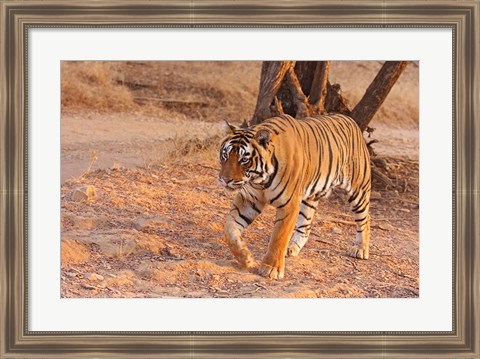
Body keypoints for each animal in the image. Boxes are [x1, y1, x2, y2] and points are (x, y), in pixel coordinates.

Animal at [218, 114, 372, 280]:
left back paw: (360, 249)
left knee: (365, 218)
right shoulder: (249, 199)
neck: (259, 181)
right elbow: (229, 228)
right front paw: (245, 258)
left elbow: (279, 236)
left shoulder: (288, 204)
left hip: (358, 190)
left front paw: (271, 268)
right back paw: (292, 248)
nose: (225, 179)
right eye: (225, 155)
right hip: (310, 198)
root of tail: (351, 120)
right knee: (305, 226)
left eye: (244, 160)